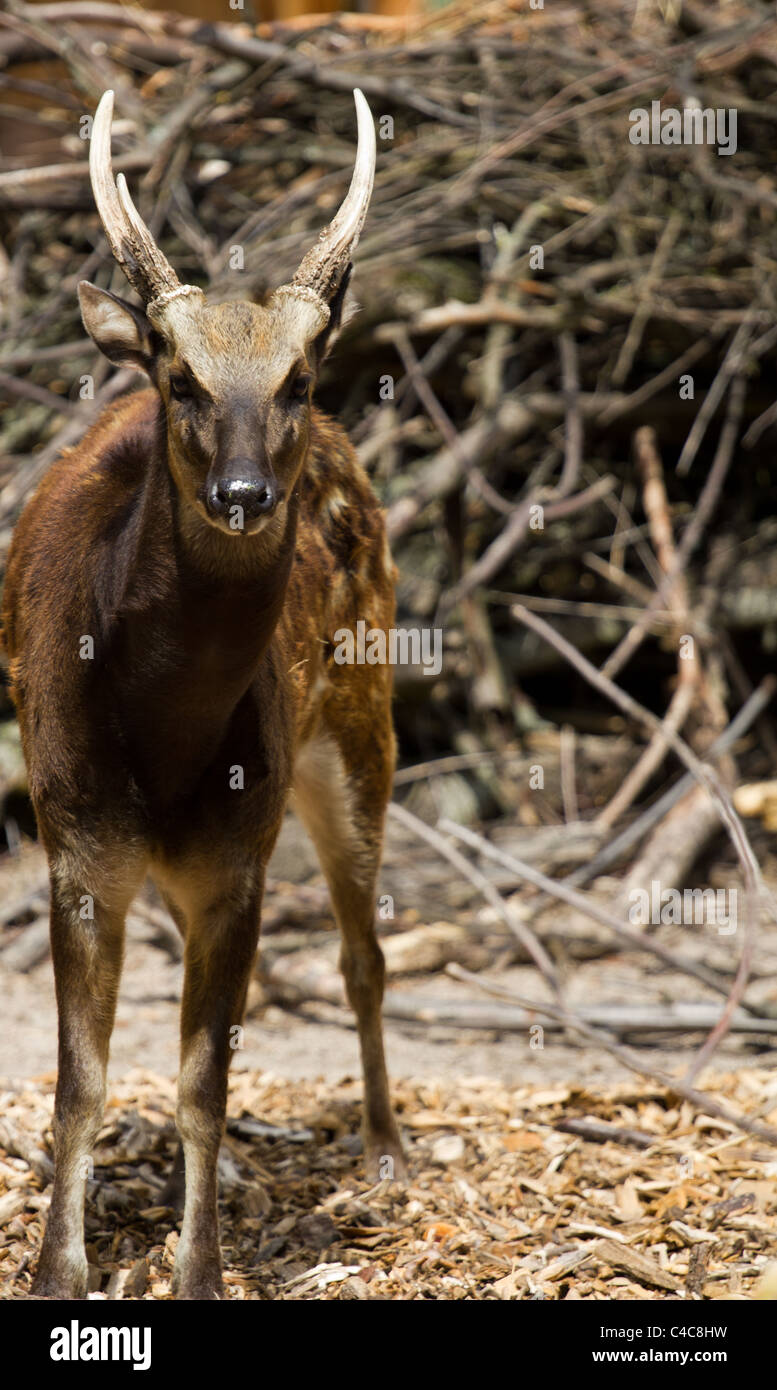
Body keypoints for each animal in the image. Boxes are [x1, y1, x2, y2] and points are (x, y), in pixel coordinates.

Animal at [4, 86, 408, 1301]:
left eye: (298, 379)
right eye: (177, 376)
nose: (241, 491)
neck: (162, 738)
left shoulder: (238, 855)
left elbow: (201, 1085)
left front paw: (200, 1273)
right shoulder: (76, 838)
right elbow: (82, 1080)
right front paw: (59, 1273)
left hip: (360, 720)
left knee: (362, 952)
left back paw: (385, 1152)